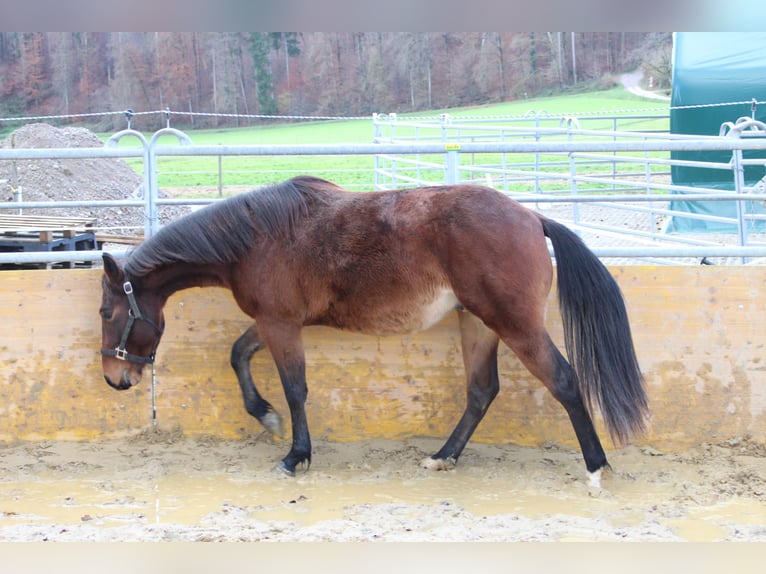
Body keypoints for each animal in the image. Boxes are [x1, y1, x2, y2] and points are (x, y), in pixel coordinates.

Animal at [99, 174, 652, 486]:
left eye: (107, 313)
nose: (114, 379)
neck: (256, 237)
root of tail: (531, 217)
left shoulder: (281, 324)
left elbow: (295, 389)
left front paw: (295, 455)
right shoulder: (275, 322)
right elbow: (238, 355)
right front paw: (265, 416)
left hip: (513, 323)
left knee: (563, 381)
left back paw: (595, 468)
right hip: (477, 323)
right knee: (481, 391)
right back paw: (443, 457)